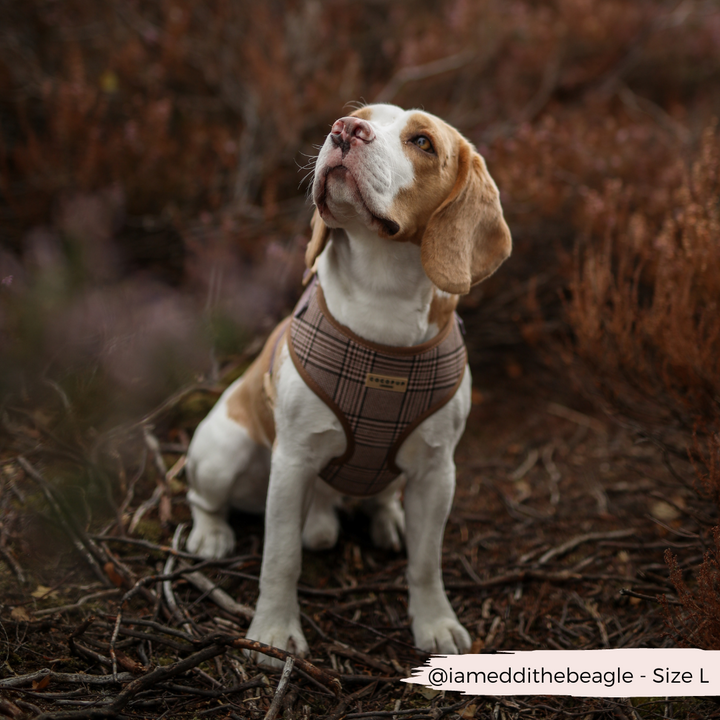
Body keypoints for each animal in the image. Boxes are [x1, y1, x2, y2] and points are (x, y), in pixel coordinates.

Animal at [186, 102, 512, 664]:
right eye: (362, 116)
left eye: (422, 142)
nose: (345, 131)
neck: (382, 303)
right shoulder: (291, 463)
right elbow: (281, 558)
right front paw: (273, 634)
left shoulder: (437, 471)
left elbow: (426, 562)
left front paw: (435, 623)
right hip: (224, 450)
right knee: (201, 498)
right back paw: (213, 534)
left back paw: (383, 519)